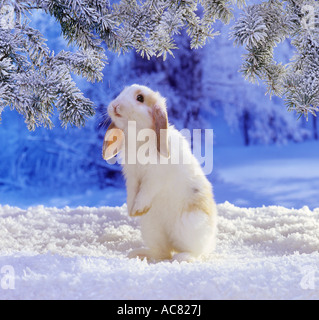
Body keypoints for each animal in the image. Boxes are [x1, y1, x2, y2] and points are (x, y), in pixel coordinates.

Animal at [102, 85, 218, 262]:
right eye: (121, 93)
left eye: (140, 98)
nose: (114, 105)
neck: (138, 136)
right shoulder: (132, 176)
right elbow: (133, 192)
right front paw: (132, 211)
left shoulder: (155, 177)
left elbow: (146, 192)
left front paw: (137, 209)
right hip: (151, 229)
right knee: (162, 252)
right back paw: (139, 254)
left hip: (190, 225)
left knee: (197, 252)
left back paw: (182, 258)